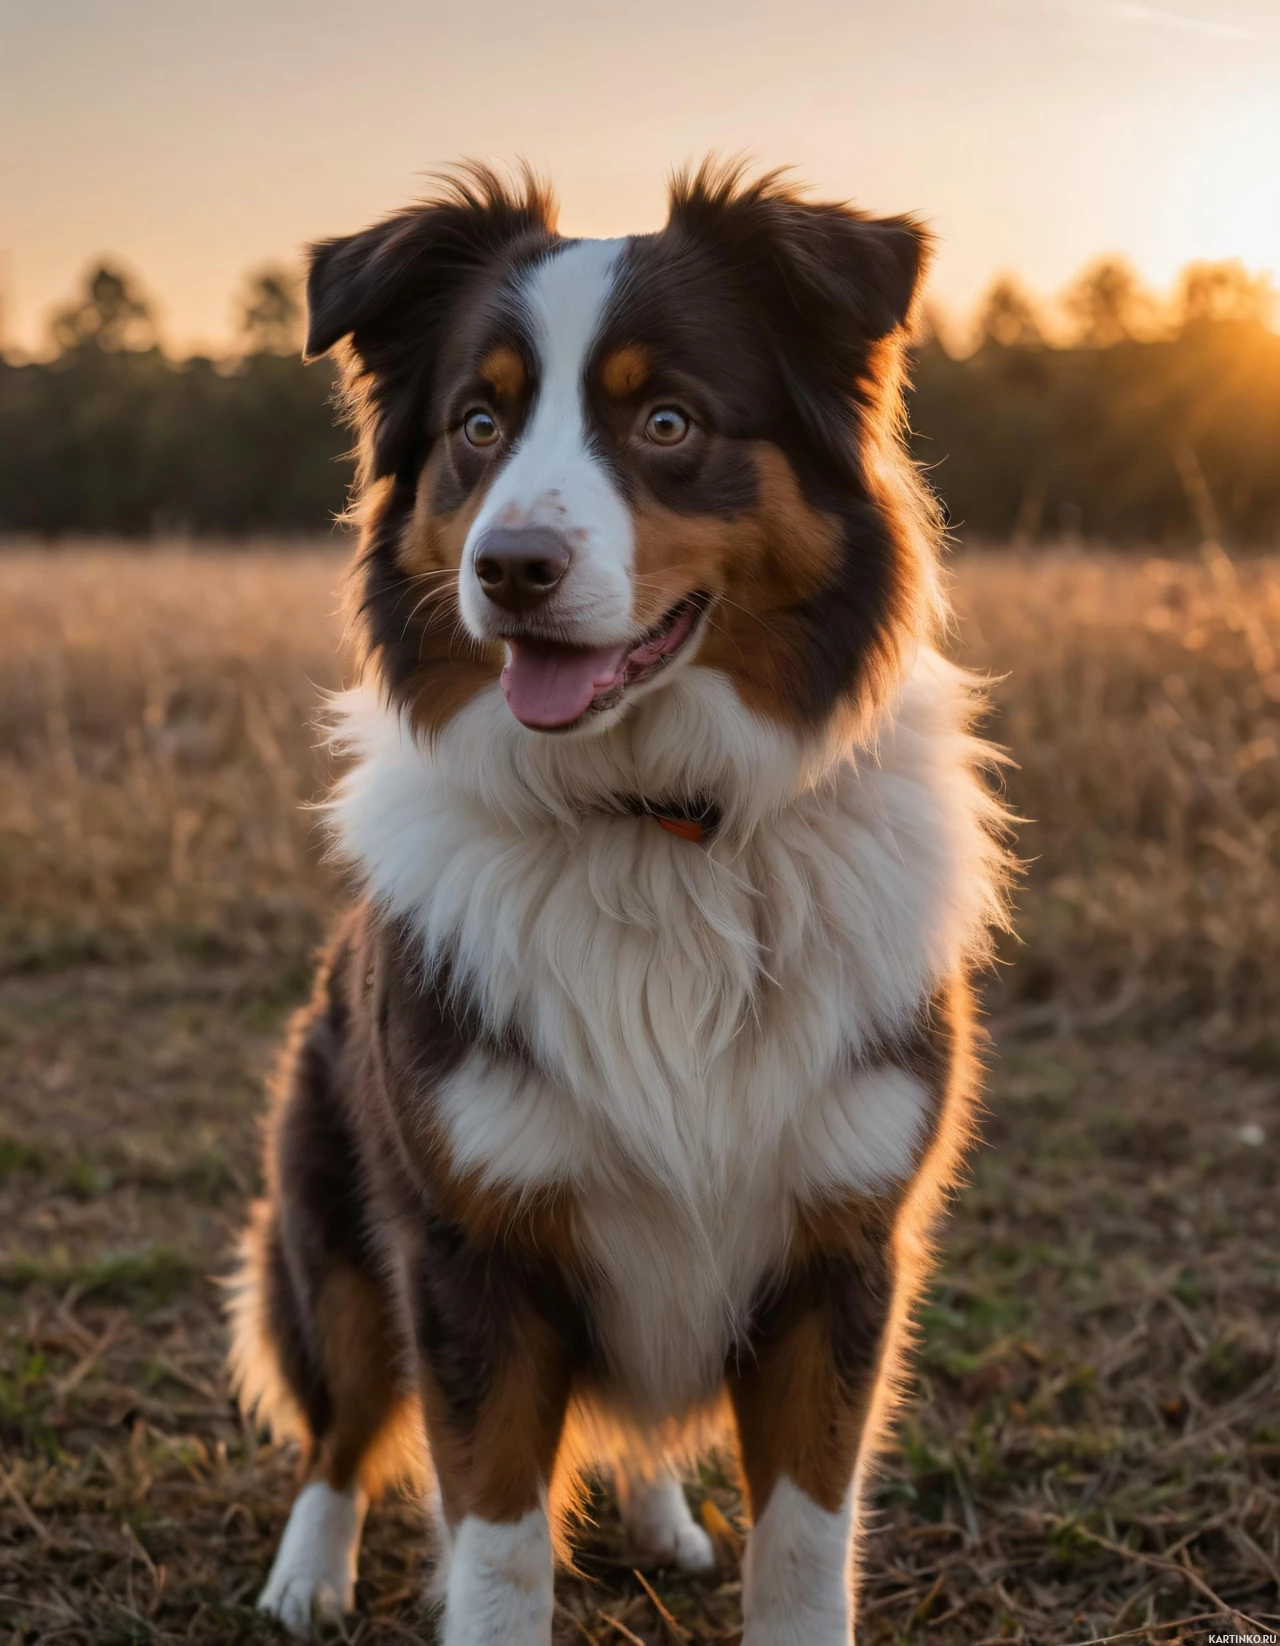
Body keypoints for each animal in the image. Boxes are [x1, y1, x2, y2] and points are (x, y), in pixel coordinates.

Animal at [231, 157, 1006, 1646]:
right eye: (478, 424)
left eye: (667, 421)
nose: (509, 567)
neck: (655, 824)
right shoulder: (468, 1248)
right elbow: (499, 1543)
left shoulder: (839, 1246)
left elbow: (804, 1542)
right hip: (336, 1233)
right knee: (341, 1420)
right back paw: (307, 1570)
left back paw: (661, 1515)